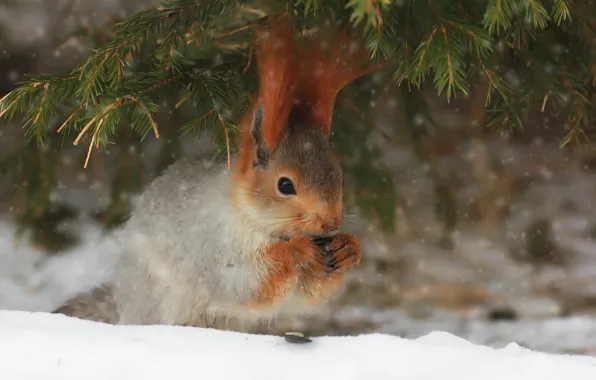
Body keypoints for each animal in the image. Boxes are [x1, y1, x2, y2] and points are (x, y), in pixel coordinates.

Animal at [52, 13, 378, 332]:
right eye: (285, 185)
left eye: (338, 173)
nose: (331, 224)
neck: (261, 222)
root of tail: (124, 308)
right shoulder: (212, 242)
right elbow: (240, 282)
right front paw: (296, 252)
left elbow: (303, 296)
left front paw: (348, 248)